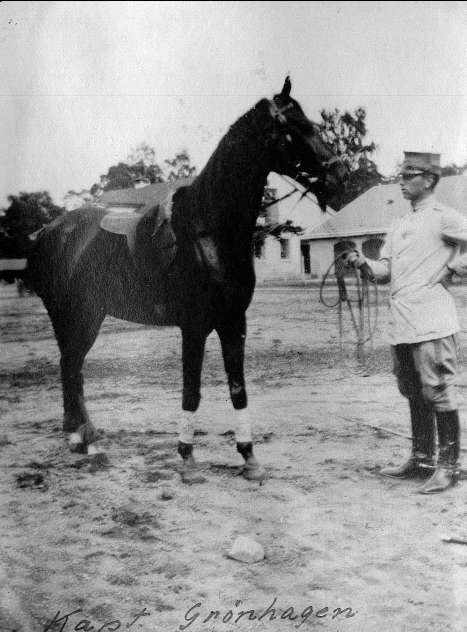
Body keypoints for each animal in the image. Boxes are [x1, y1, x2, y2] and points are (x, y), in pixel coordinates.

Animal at [28, 77, 348, 484]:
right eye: (295, 129)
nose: (340, 176)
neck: (209, 229)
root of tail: (49, 231)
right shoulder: (194, 326)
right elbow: (191, 390)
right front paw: (187, 459)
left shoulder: (233, 322)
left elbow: (238, 388)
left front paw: (249, 457)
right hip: (79, 318)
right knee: (72, 366)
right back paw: (88, 441)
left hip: (80, 318)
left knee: (71, 366)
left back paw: (79, 436)